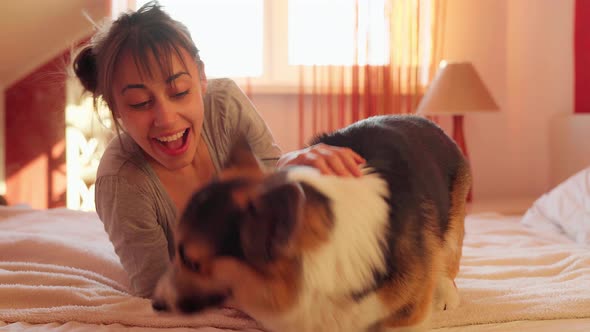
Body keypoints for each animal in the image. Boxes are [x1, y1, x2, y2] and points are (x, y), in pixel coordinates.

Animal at [151, 115, 472, 332]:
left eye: (192, 262)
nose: (155, 304)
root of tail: (427, 122)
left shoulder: (405, 316)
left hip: (453, 226)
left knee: (447, 258)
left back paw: (445, 294)